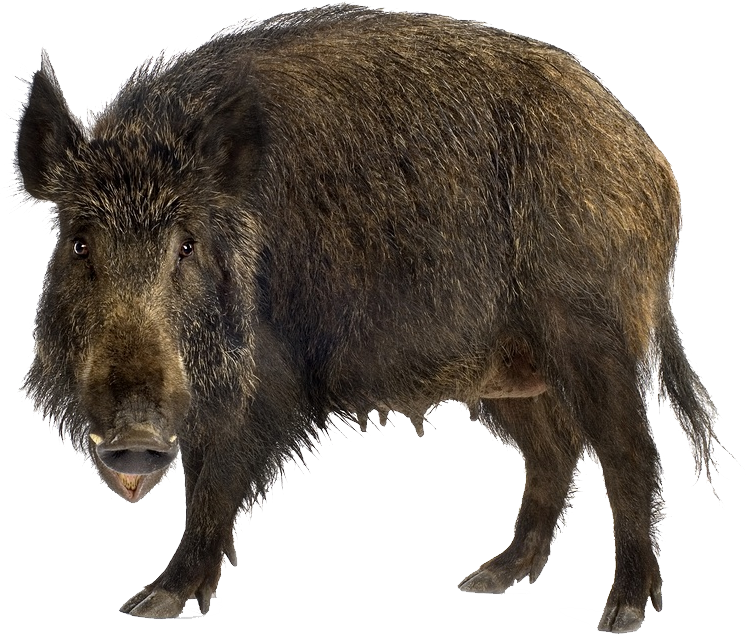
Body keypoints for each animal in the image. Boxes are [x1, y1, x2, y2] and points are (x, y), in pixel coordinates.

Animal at [16, 4, 723, 632]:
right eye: (79, 242)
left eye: (187, 245)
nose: (134, 436)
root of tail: (654, 168)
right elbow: (199, 474)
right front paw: (141, 604)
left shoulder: (263, 382)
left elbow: (213, 480)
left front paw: (148, 604)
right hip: (507, 369)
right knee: (554, 450)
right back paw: (482, 580)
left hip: (591, 332)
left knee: (629, 451)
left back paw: (620, 614)